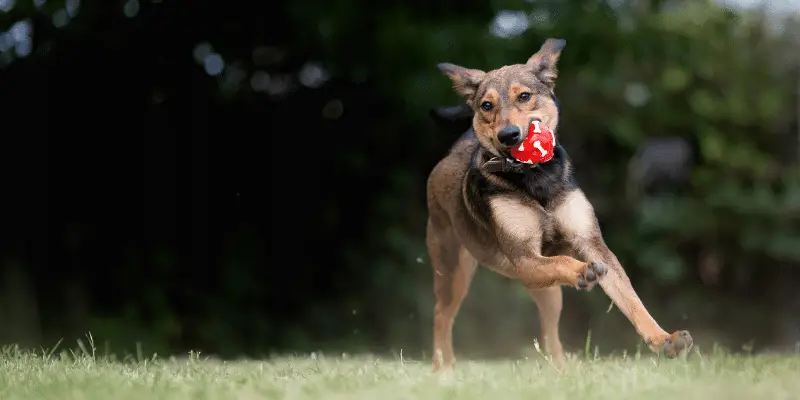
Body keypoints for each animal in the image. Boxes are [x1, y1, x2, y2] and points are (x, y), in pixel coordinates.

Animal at [424, 38, 692, 372]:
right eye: (486, 105)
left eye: (524, 96)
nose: (508, 135)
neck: (534, 178)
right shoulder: (525, 260)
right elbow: (564, 261)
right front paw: (583, 272)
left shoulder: (592, 243)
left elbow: (630, 298)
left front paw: (664, 339)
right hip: (455, 269)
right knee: (441, 315)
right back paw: (444, 369)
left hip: (547, 293)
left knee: (551, 333)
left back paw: (561, 370)